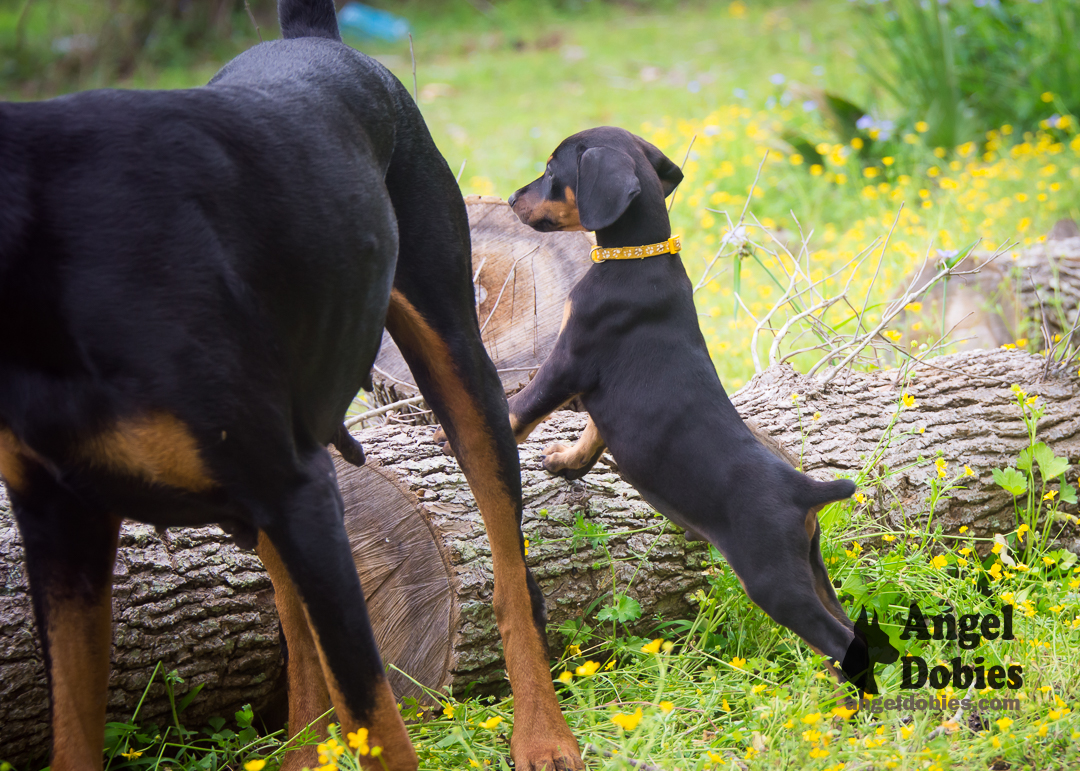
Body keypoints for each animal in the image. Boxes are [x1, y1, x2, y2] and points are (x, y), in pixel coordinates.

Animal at [0, 3, 583, 764]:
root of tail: (314, 40)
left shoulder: (296, 489)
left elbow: (375, 714)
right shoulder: (58, 524)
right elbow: (72, 730)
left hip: (456, 364)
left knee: (512, 576)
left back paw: (542, 735)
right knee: (299, 626)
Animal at [501, 126, 872, 691]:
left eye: (549, 168)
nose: (509, 199)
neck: (638, 257)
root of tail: (804, 489)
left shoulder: (568, 359)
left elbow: (522, 407)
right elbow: (593, 434)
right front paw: (566, 463)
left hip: (773, 579)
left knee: (833, 641)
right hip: (811, 566)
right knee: (848, 634)